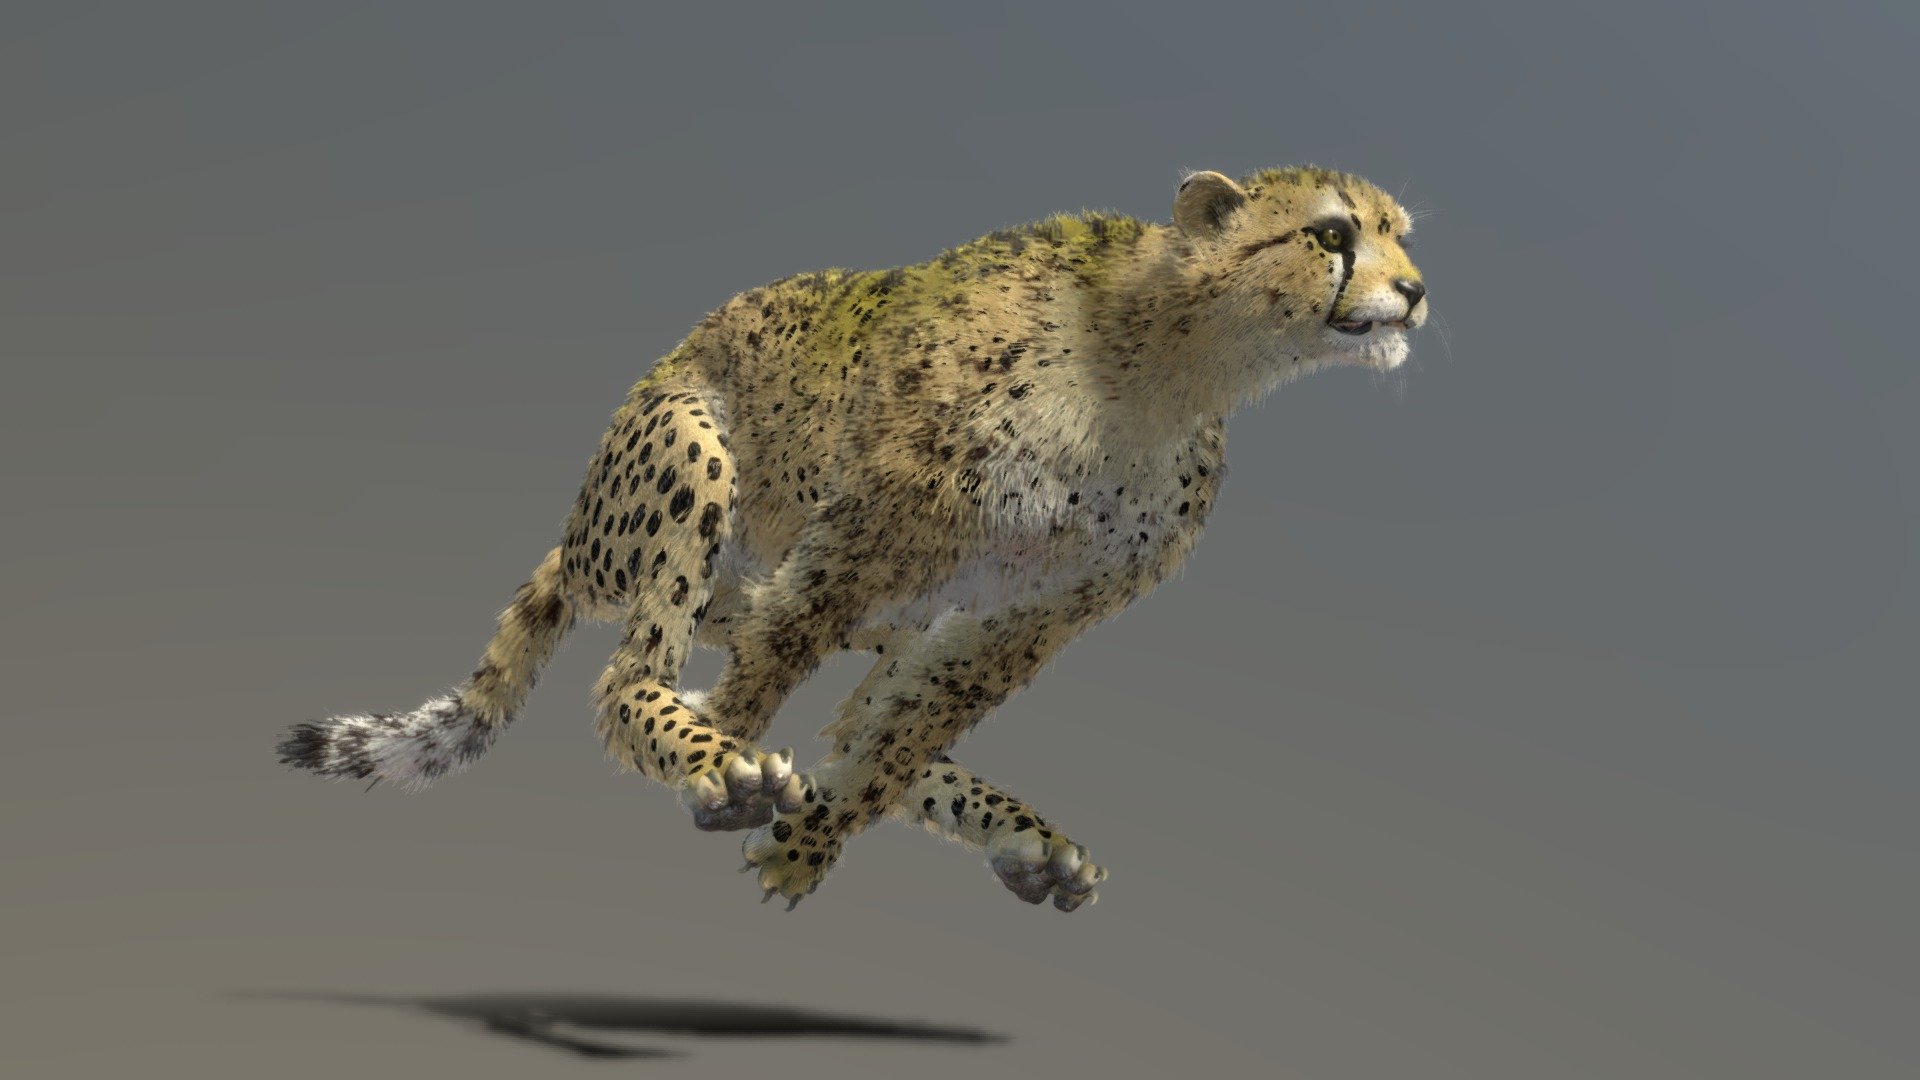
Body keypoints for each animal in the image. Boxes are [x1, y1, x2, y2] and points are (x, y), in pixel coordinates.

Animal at [277, 164, 1429, 912]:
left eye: (1402, 233)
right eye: (1332, 235)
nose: (1416, 292)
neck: (1169, 364)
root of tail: (578, 535)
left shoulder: (1027, 615)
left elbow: (896, 739)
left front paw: (805, 846)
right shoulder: (861, 543)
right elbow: (766, 693)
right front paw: (726, 777)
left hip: (879, 609)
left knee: (857, 714)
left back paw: (1022, 842)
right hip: (692, 463)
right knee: (641, 675)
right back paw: (721, 751)